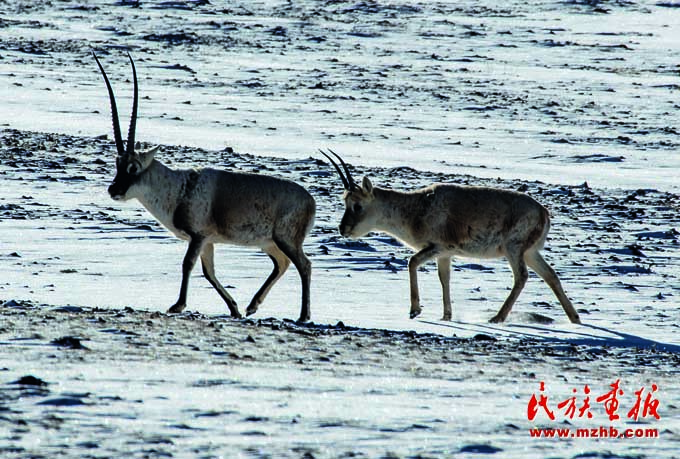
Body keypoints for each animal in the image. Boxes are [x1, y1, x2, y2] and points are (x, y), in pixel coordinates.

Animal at [94, 52, 318, 322]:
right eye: (117, 164)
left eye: (133, 167)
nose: (114, 190)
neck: (180, 187)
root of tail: (310, 200)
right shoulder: (208, 241)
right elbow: (209, 272)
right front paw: (234, 308)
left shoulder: (198, 236)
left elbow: (188, 264)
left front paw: (178, 305)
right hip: (269, 243)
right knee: (282, 264)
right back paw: (252, 306)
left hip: (285, 239)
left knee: (304, 265)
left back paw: (303, 315)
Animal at [318, 149, 580, 326]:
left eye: (357, 205)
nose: (343, 229)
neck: (417, 207)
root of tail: (543, 212)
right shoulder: (445, 255)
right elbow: (444, 278)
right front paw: (446, 316)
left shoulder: (438, 246)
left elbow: (412, 262)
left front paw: (415, 310)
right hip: (530, 252)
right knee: (550, 275)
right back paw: (574, 319)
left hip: (513, 249)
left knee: (522, 277)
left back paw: (497, 317)